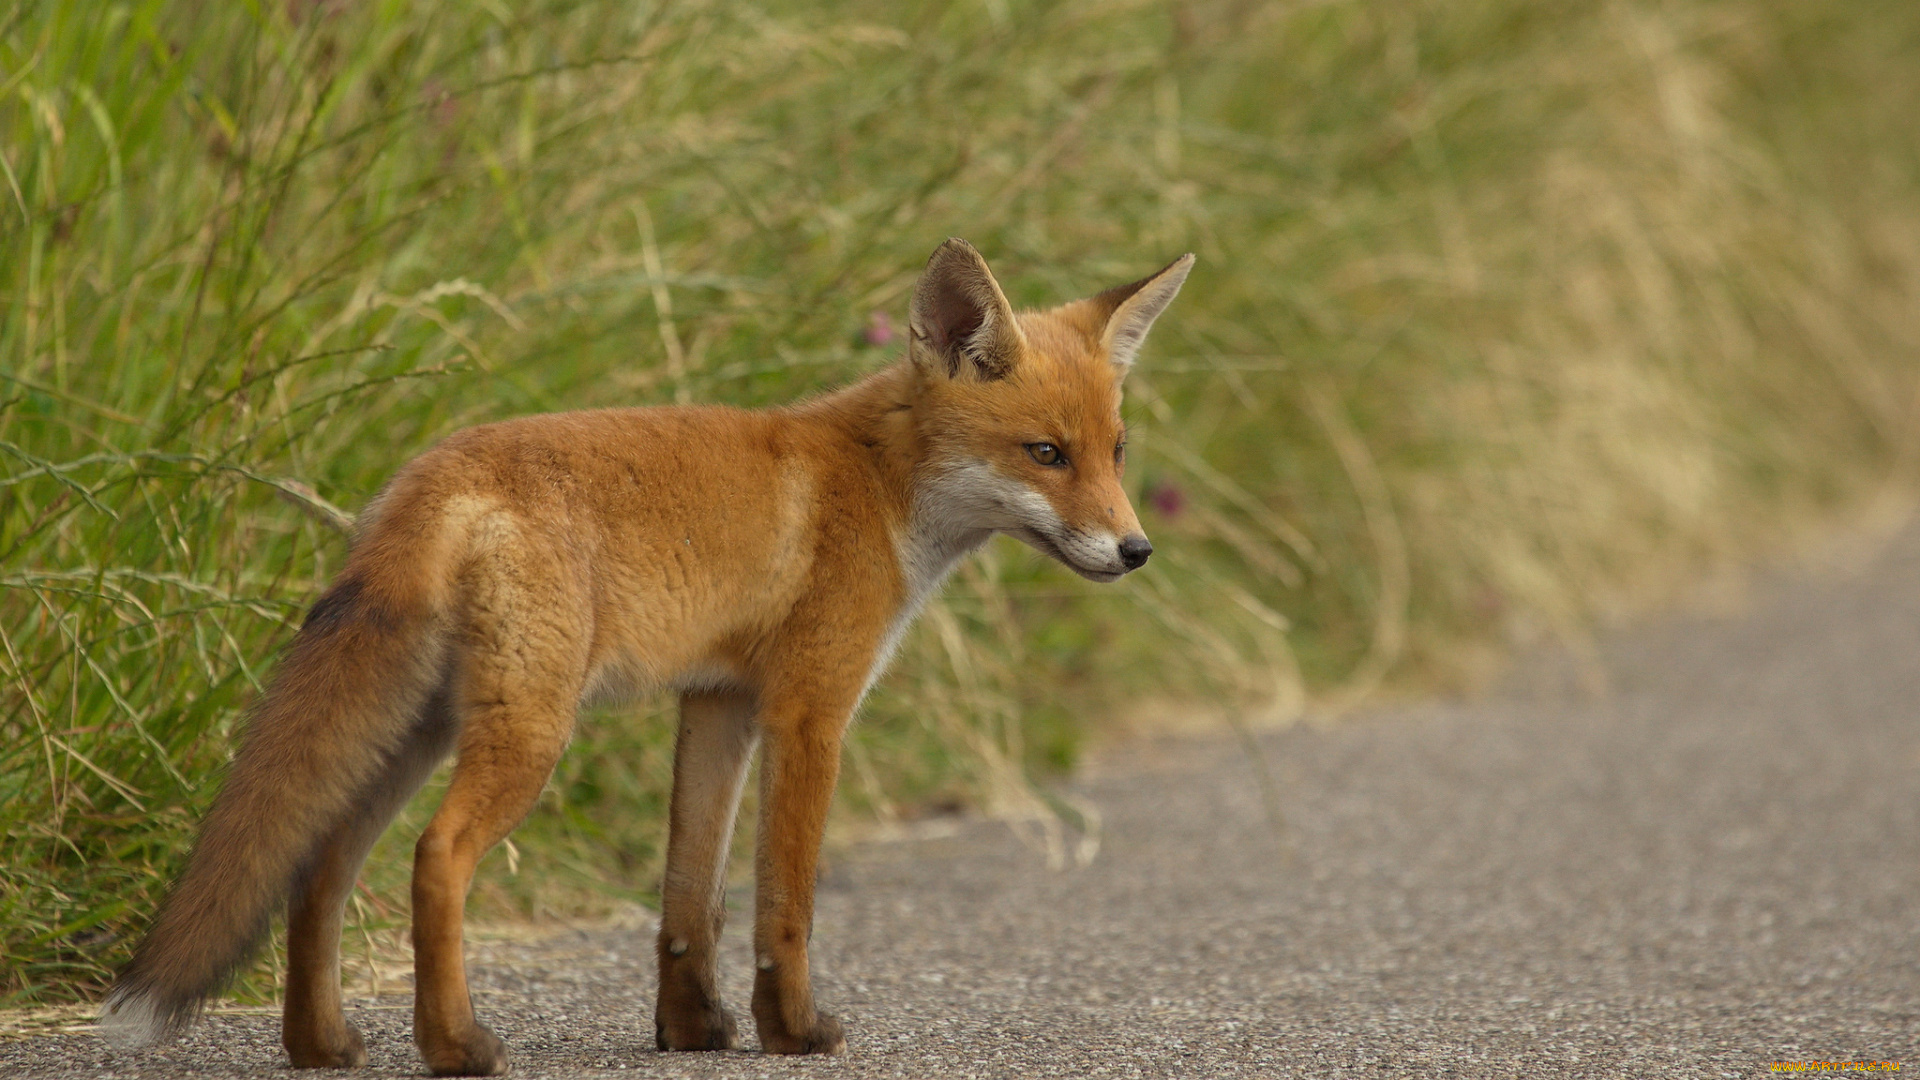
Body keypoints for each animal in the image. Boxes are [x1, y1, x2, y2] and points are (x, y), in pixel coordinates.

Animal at [105, 237, 1190, 1068]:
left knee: (322, 864)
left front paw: (694, 1028)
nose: (1137, 551)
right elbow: (784, 904)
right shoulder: (811, 709)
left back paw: (321, 1044)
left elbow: (689, 899)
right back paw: (456, 1044)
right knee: (435, 856)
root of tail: (431, 474)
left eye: (1116, 452)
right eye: (1045, 454)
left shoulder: (718, 702)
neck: (878, 488)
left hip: (416, 733)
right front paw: (793, 1031)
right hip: (528, 733)